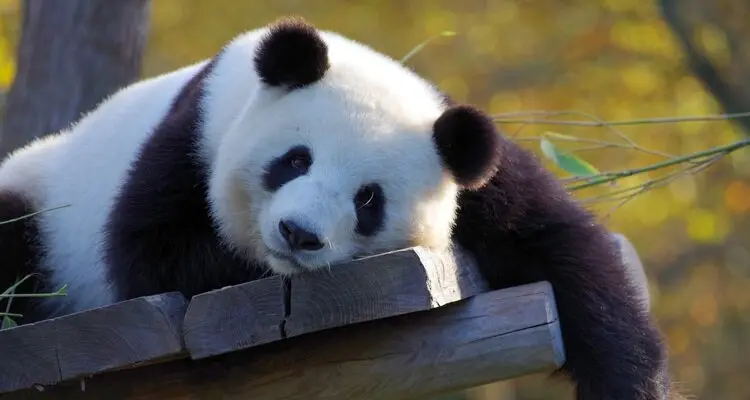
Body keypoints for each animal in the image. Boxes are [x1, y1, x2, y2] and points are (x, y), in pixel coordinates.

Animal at [0, 17, 675, 400]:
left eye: (368, 199)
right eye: (295, 159)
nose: (297, 234)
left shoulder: (474, 171)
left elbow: (563, 250)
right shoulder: (193, 133)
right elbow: (152, 252)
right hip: (40, 199)